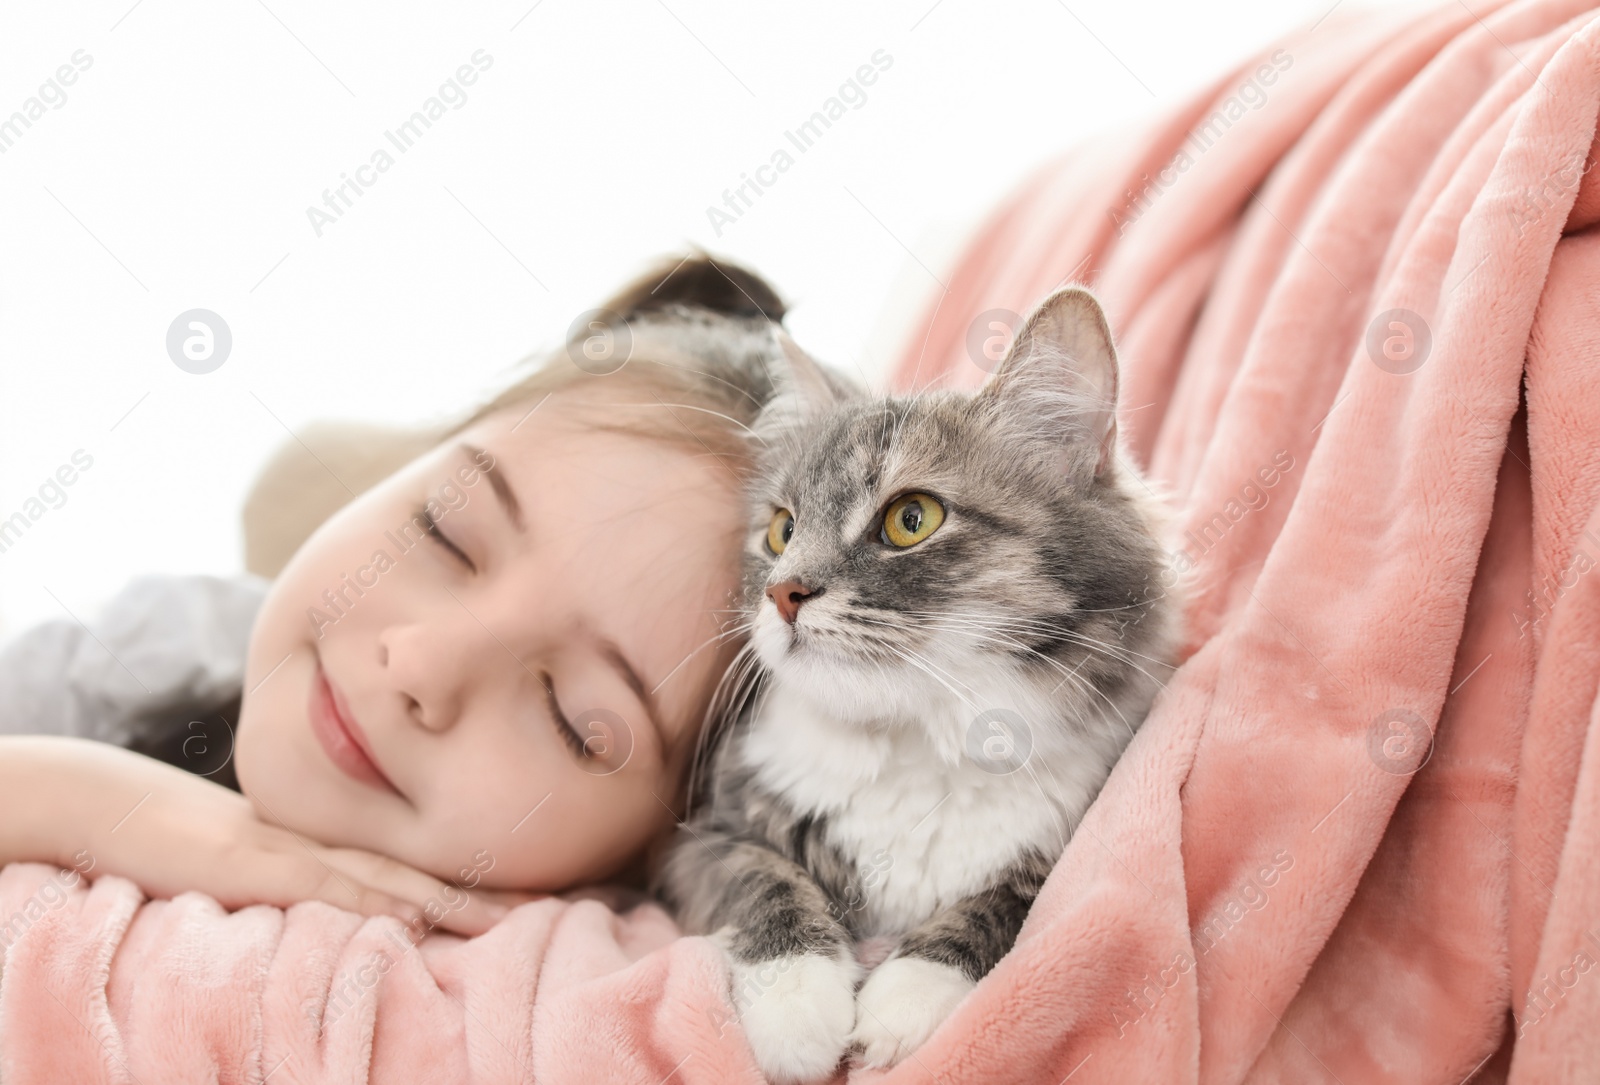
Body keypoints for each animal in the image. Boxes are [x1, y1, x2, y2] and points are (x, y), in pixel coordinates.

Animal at [652, 284, 1190, 1081]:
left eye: (911, 519)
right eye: (781, 531)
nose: (781, 593)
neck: (915, 744)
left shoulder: (1068, 843)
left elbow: (996, 907)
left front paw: (896, 1005)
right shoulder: (701, 841)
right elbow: (766, 884)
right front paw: (799, 1011)